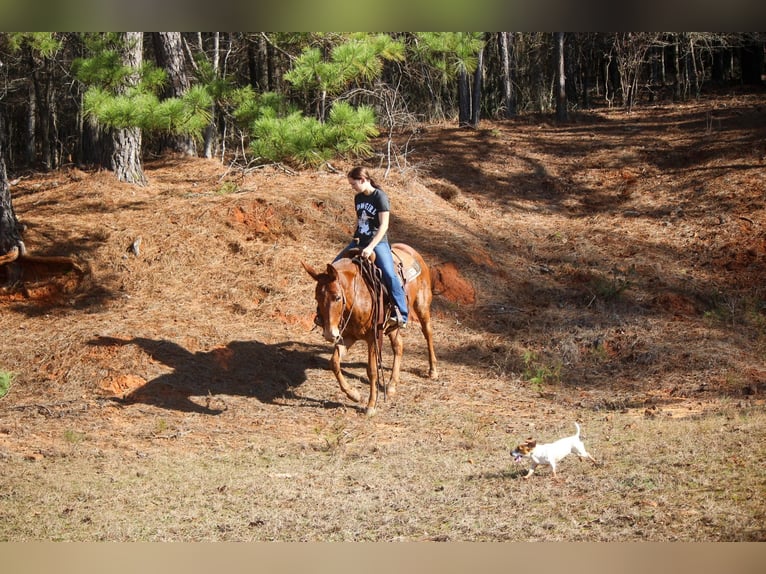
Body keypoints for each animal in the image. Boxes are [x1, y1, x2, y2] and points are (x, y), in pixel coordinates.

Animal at [304, 244, 440, 418]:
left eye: (337, 297)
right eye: (317, 298)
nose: (329, 334)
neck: (357, 296)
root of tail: (411, 251)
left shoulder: (373, 337)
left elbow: (372, 371)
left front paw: (370, 406)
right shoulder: (348, 336)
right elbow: (334, 362)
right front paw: (354, 395)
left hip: (422, 307)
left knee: (428, 334)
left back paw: (432, 371)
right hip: (390, 326)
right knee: (399, 345)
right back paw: (391, 385)